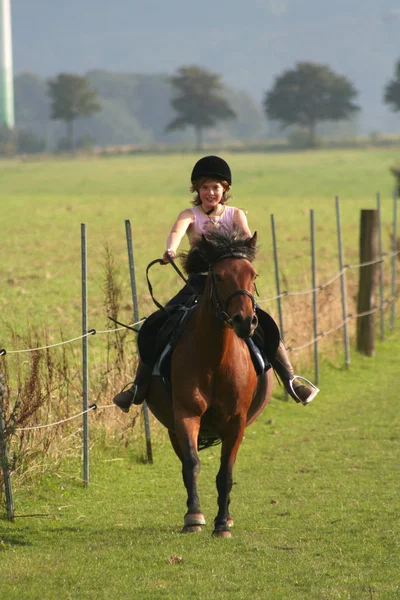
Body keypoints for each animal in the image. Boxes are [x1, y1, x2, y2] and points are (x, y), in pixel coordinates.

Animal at [145, 231, 278, 540]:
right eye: (217, 275)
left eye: (253, 274)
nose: (245, 321)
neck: (216, 358)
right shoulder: (186, 415)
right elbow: (192, 464)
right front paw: (194, 517)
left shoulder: (236, 422)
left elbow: (225, 473)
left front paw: (222, 523)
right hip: (172, 427)